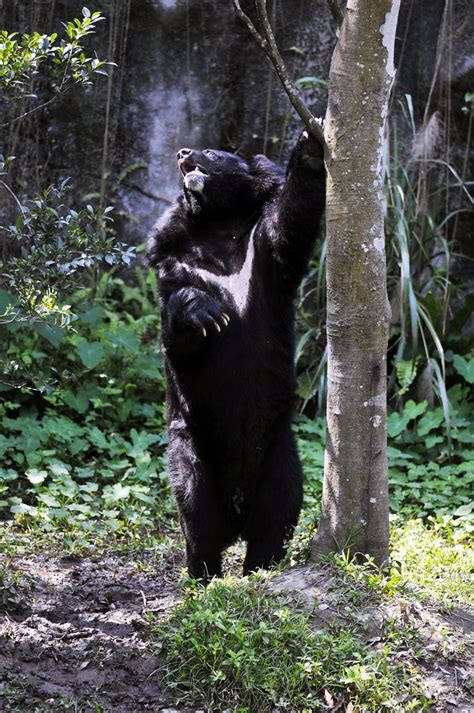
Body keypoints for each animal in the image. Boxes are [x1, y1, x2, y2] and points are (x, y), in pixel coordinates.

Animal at [148, 129, 326, 580]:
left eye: (212, 152)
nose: (182, 152)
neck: (216, 227)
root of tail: (236, 513)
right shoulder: (171, 263)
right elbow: (179, 339)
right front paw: (207, 312)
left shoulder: (264, 254)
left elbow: (289, 223)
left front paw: (311, 144)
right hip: (191, 447)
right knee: (195, 511)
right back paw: (204, 574)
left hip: (280, 455)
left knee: (278, 514)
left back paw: (260, 568)